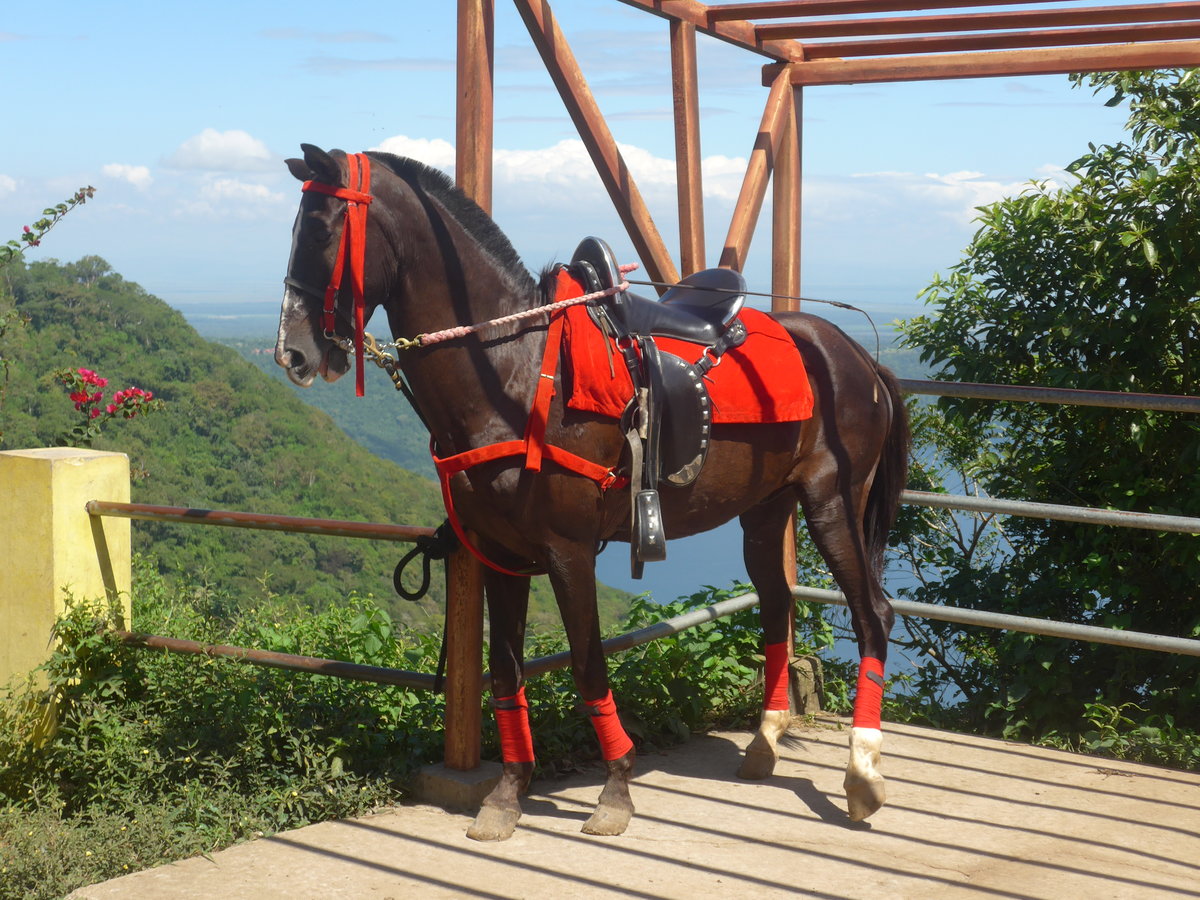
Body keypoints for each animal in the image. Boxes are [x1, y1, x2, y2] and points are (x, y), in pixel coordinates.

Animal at [275, 144, 910, 842]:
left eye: (322, 230)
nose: (292, 353)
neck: (517, 371)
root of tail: (855, 354)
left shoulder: (568, 549)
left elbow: (587, 663)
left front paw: (615, 790)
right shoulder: (501, 553)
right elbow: (505, 670)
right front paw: (508, 792)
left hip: (833, 502)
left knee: (873, 614)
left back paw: (864, 771)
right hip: (767, 510)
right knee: (777, 605)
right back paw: (765, 741)